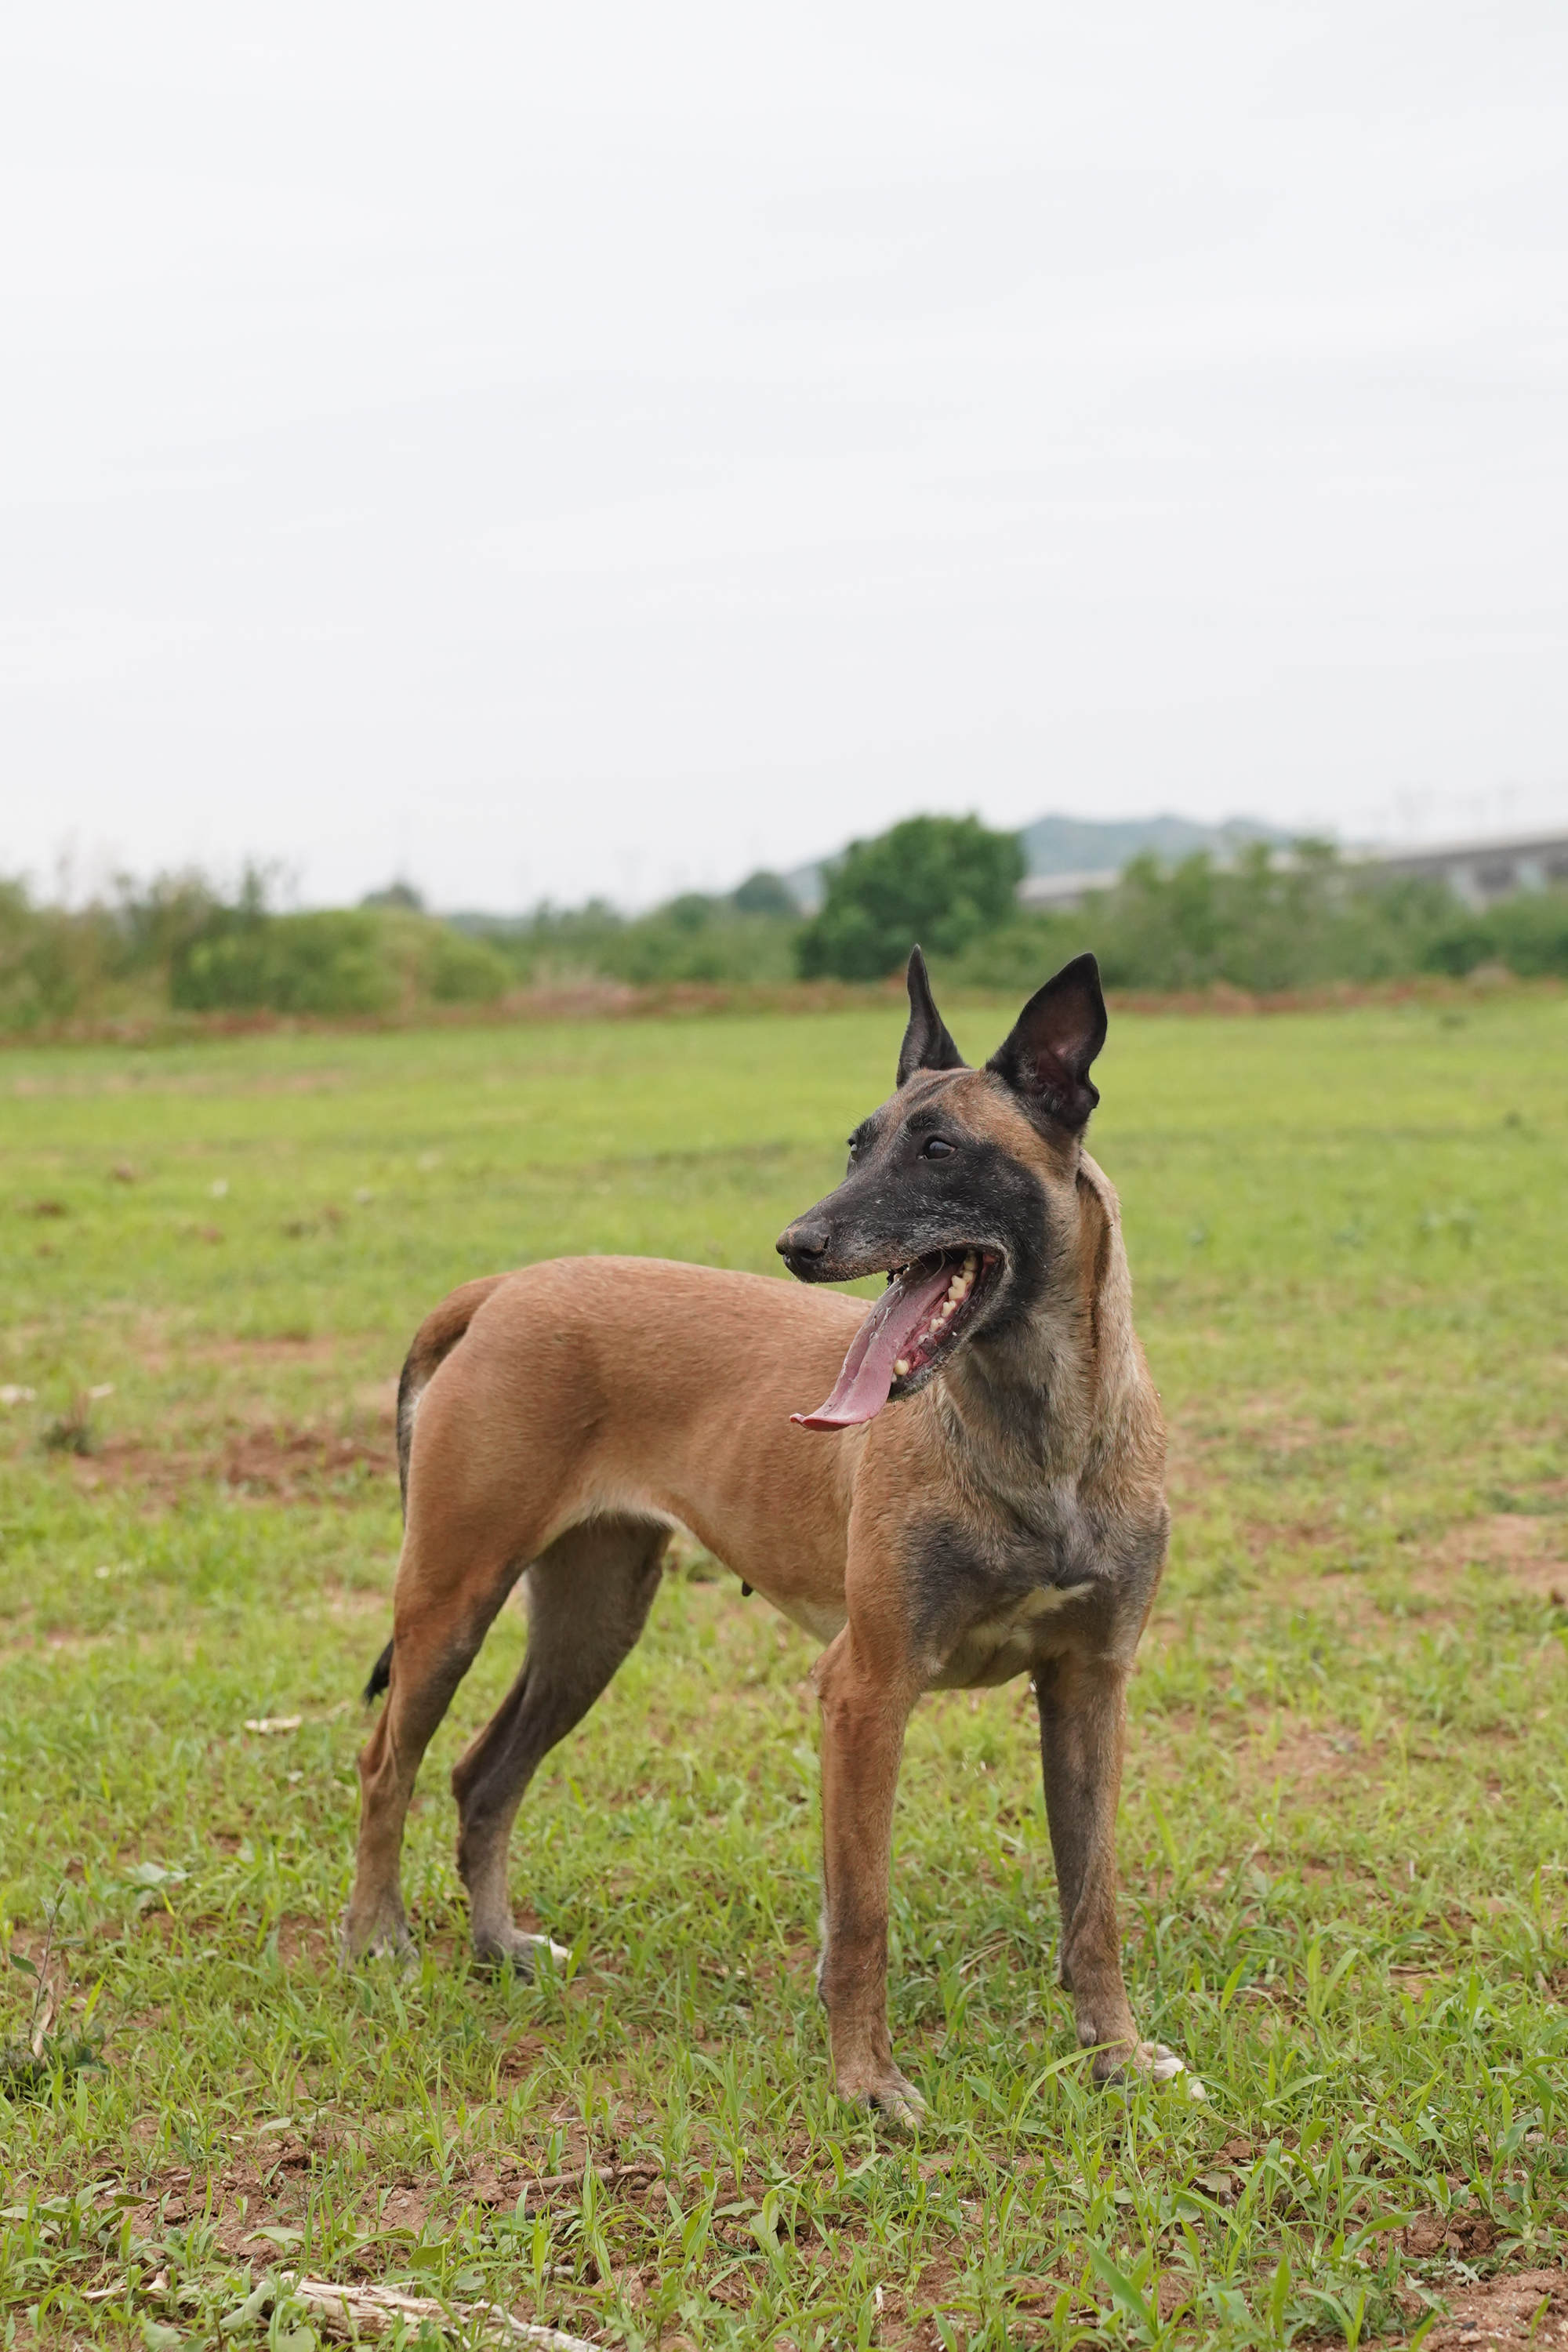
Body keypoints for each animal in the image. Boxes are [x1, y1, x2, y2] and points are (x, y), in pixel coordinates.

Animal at [343, 946, 1175, 2126]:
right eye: (857, 1144)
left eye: (939, 1149)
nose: (797, 1243)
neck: (1038, 1441)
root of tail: (505, 1288)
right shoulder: (866, 1690)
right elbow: (863, 1913)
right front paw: (867, 2083)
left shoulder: (1091, 1686)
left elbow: (1092, 1898)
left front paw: (1115, 2053)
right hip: (452, 1600)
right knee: (387, 1763)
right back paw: (378, 1941)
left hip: (593, 1626)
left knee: (481, 1776)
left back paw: (499, 1943)